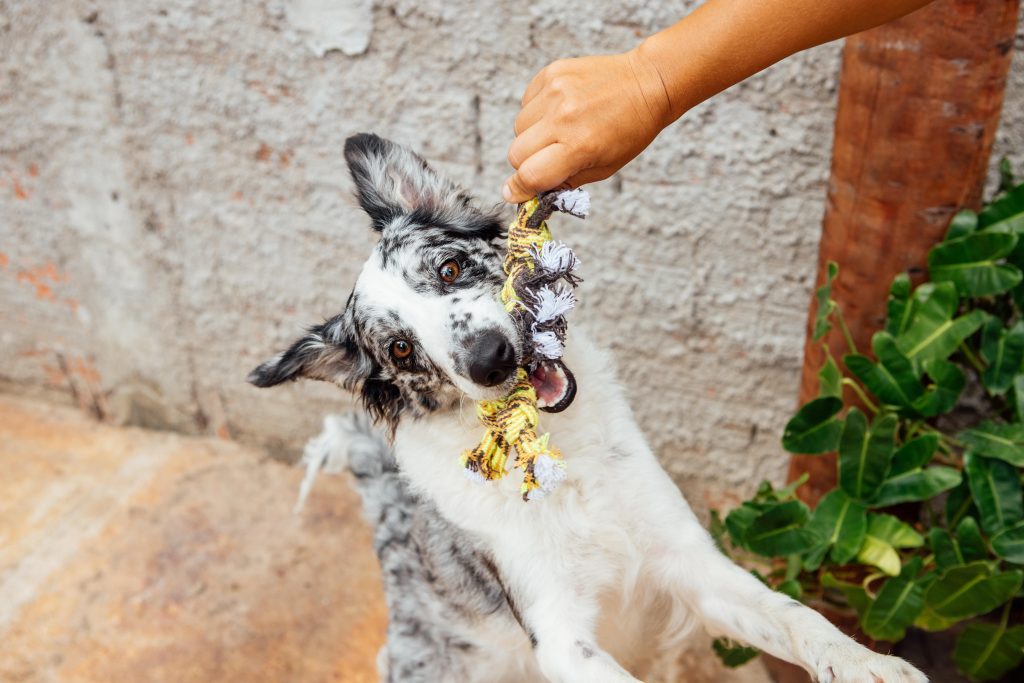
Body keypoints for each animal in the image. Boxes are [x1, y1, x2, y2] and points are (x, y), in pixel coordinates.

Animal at [247, 135, 929, 683]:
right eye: (399, 347)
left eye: (450, 267)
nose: (490, 360)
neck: (563, 463)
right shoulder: (560, 637)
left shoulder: (690, 559)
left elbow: (796, 616)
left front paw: (869, 664)